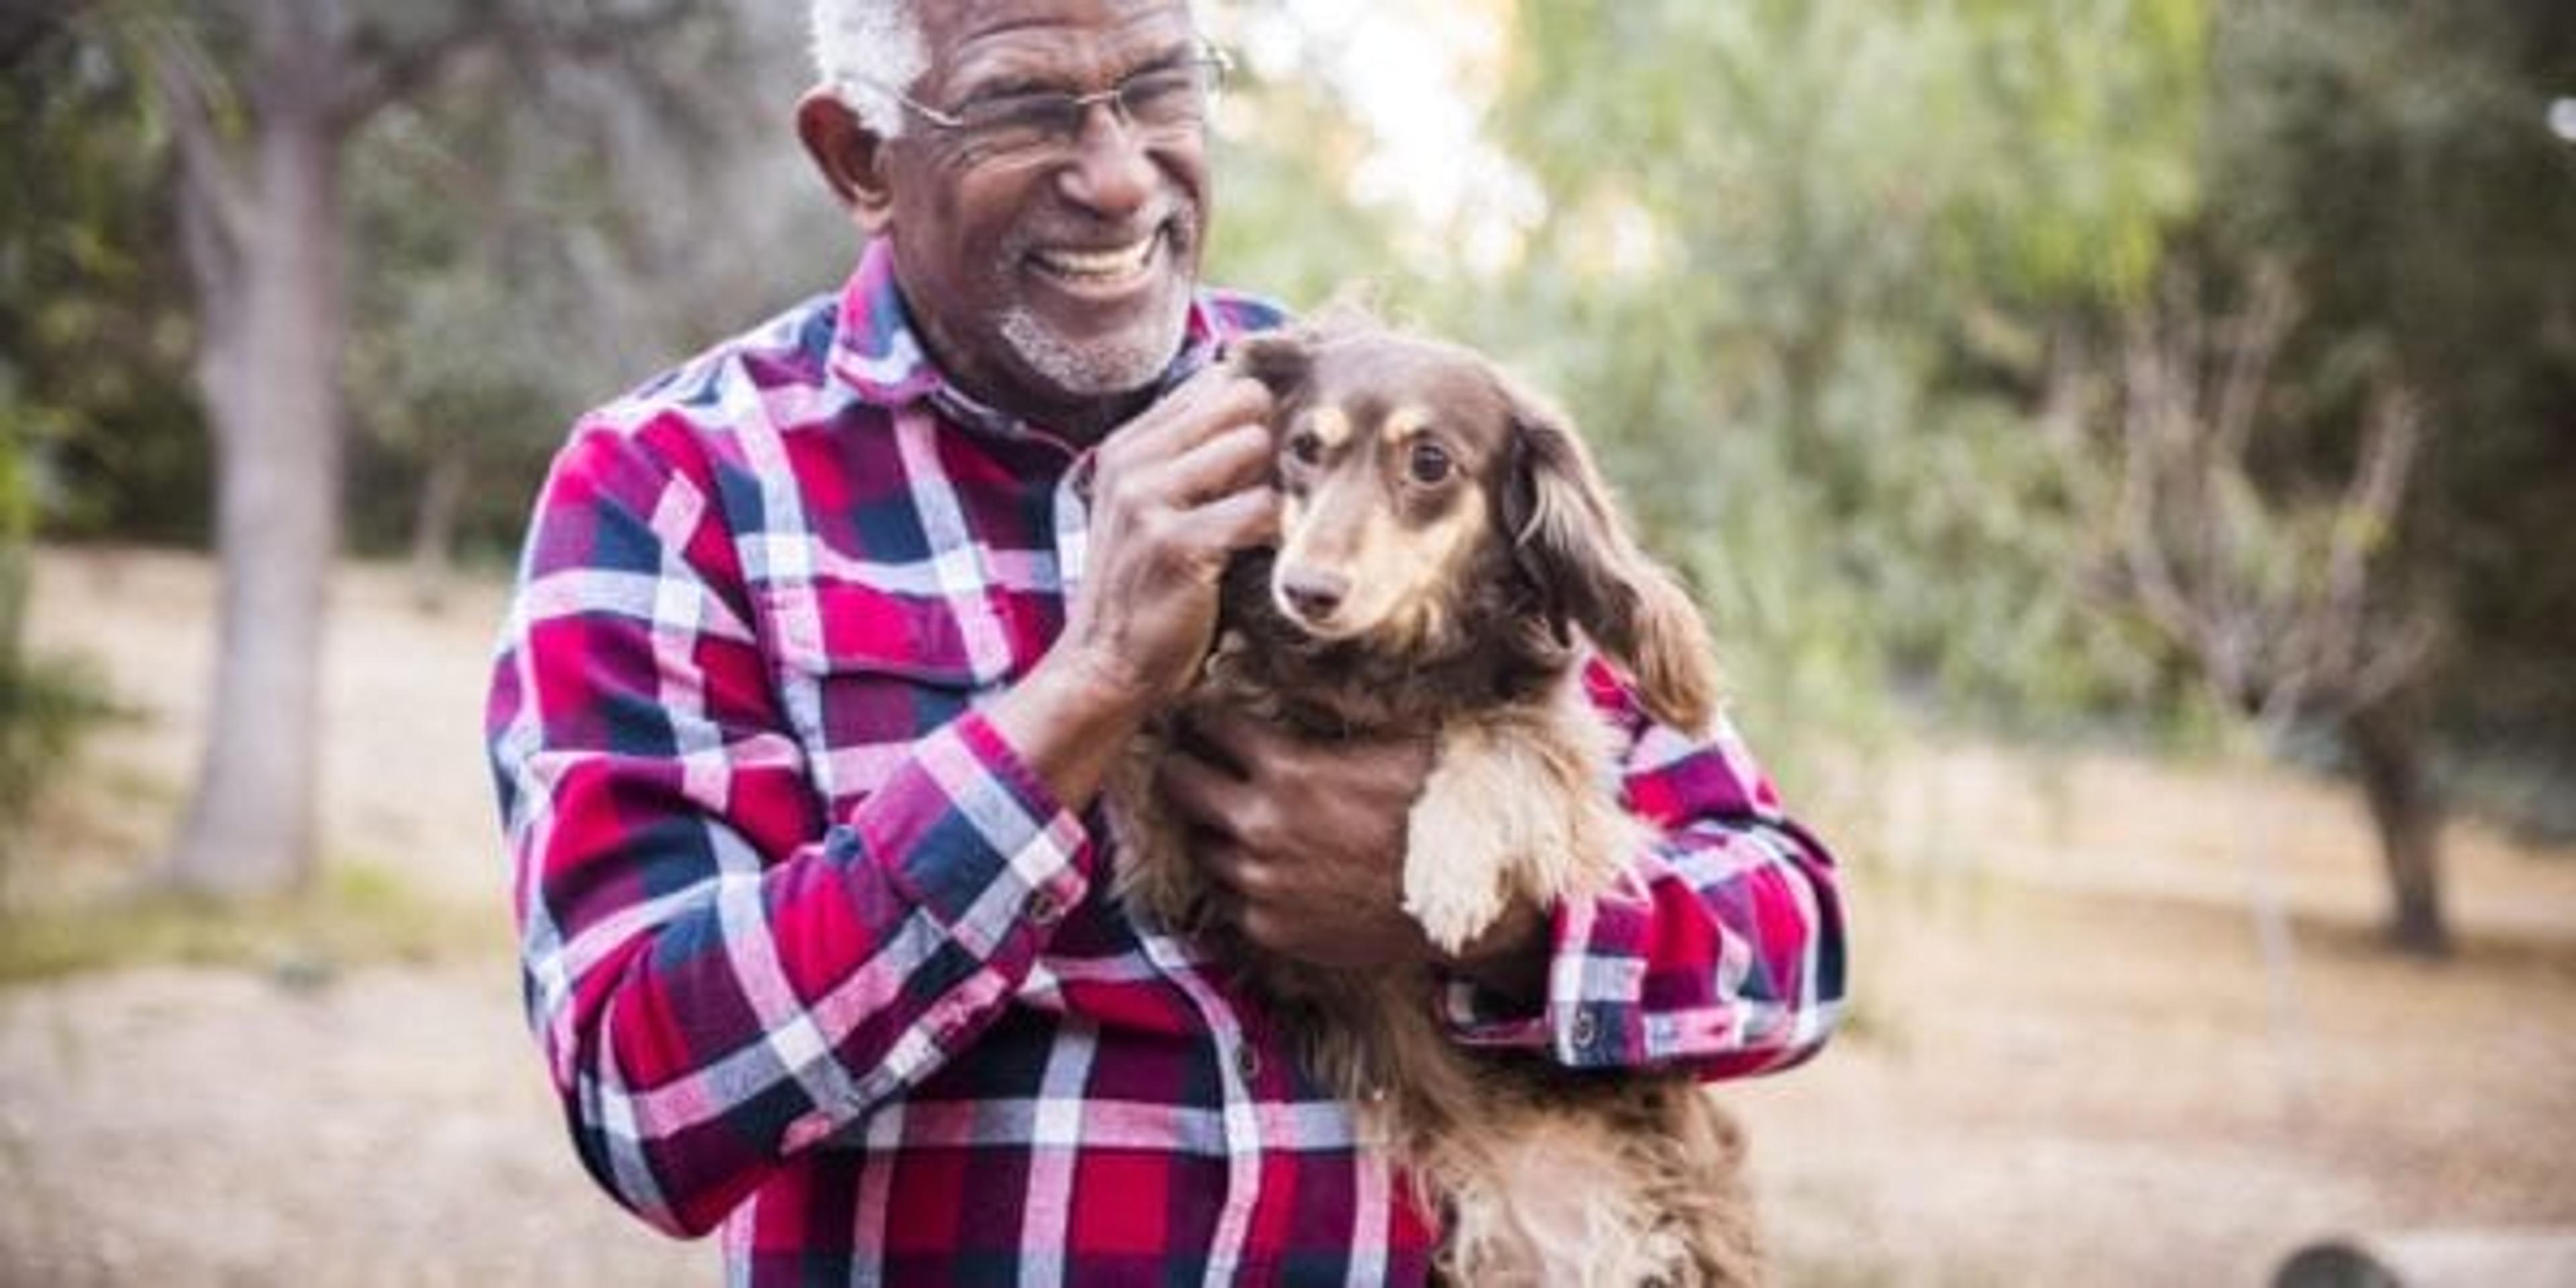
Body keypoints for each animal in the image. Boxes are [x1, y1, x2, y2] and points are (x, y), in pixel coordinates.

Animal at [1108, 314, 1772, 1288]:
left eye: (1429, 463)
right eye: (1304, 448)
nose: (1306, 590)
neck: (1371, 676)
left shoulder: (1575, 784)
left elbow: (1492, 739)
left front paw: (1449, 874)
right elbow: (1159, 735)